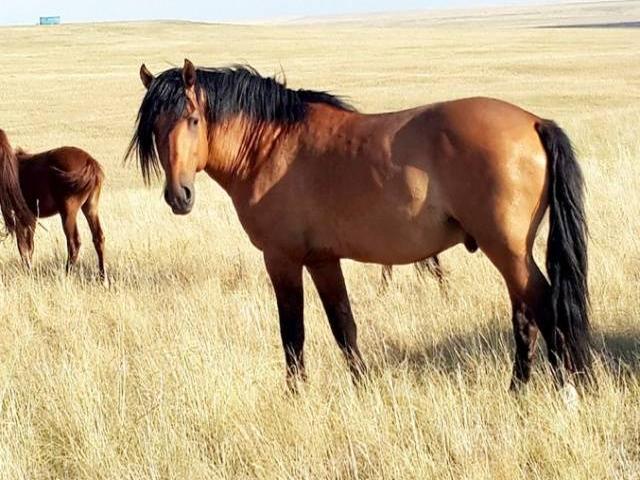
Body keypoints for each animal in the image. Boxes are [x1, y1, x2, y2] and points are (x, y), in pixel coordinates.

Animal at [14, 145, 106, 281]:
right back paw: (103, 277)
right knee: (98, 238)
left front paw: (28, 271)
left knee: (74, 242)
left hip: (68, 211)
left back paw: (67, 274)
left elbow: (23, 245)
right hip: (90, 207)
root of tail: (90, 162)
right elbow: (28, 245)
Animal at [127, 60, 590, 397]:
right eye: (155, 127)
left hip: (507, 250)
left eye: (192, 119)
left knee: (544, 306)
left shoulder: (282, 259)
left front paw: (295, 395)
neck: (271, 146)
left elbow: (292, 332)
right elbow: (343, 326)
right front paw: (362, 386)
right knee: (526, 313)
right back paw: (518, 390)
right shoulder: (323, 261)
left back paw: (564, 390)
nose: (179, 196)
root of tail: (533, 122)